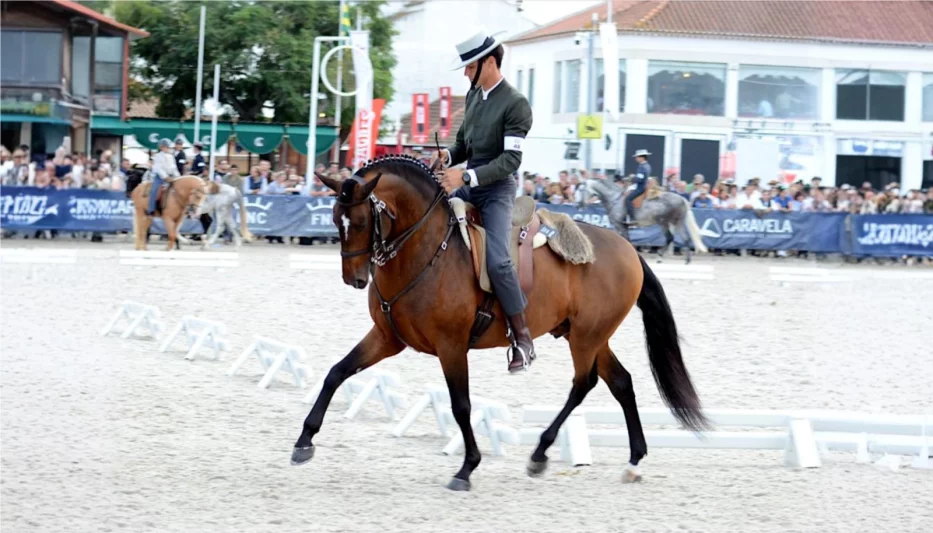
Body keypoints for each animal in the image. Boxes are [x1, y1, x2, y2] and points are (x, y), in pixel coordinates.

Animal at [292, 154, 708, 490]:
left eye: (363, 221)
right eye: (336, 219)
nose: (354, 278)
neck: (425, 249)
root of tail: (627, 249)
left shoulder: (451, 346)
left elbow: (461, 405)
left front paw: (467, 468)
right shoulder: (386, 337)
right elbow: (337, 372)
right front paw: (304, 441)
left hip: (587, 337)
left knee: (583, 383)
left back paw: (540, 452)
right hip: (588, 335)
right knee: (620, 382)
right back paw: (633, 461)